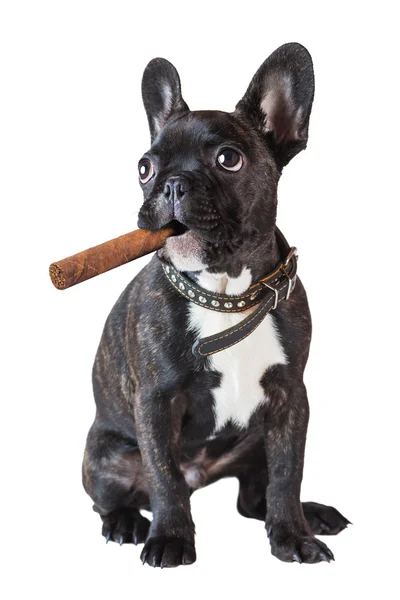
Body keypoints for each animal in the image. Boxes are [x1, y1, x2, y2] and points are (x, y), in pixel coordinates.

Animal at [82, 42, 350, 568]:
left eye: (228, 159)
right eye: (144, 167)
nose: (171, 183)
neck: (226, 293)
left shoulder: (291, 398)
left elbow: (288, 473)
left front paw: (294, 536)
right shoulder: (155, 403)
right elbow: (163, 476)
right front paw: (169, 538)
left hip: (254, 442)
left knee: (255, 497)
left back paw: (310, 514)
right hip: (105, 454)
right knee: (115, 497)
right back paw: (127, 523)